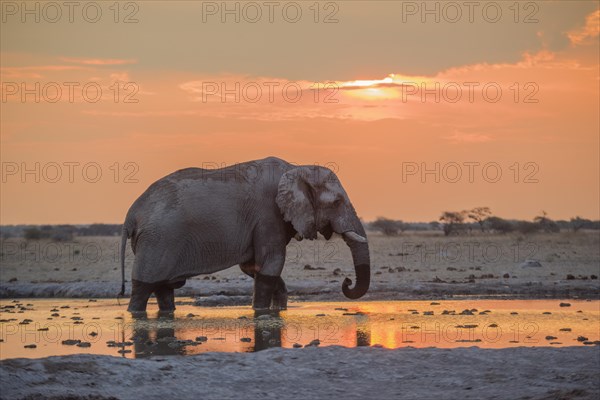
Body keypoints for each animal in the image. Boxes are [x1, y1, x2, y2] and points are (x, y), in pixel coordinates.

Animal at [119, 156, 368, 312]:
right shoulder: (268, 214)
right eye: (337, 202)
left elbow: (254, 267)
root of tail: (131, 215)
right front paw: (261, 311)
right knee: (143, 288)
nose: (346, 281)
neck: (296, 168)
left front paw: (278, 310)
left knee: (163, 289)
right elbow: (271, 264)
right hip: (158, 241)